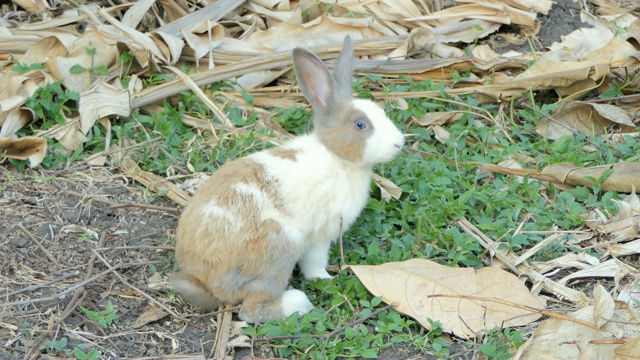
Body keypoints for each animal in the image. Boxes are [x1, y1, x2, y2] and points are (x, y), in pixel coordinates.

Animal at [169, 36, 400, 324]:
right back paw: (298, 303)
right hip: (279, 250)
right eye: (360, 124)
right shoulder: (320, 234)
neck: (336, 156)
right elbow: (314, 264)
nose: (399, 143)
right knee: (250, 310)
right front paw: (325, 278)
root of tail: (203, 278)